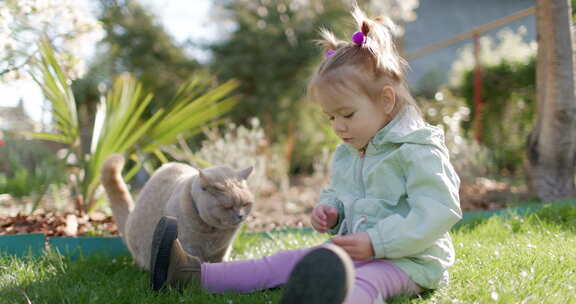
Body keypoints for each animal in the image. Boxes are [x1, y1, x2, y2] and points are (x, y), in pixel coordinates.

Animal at [100, 154, 253, 268]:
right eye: (227, 207)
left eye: (245, 204)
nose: (240, 216)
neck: (214, 233)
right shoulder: (190, 247)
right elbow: (196, 265)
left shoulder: (222, 250)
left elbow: (219, 262)